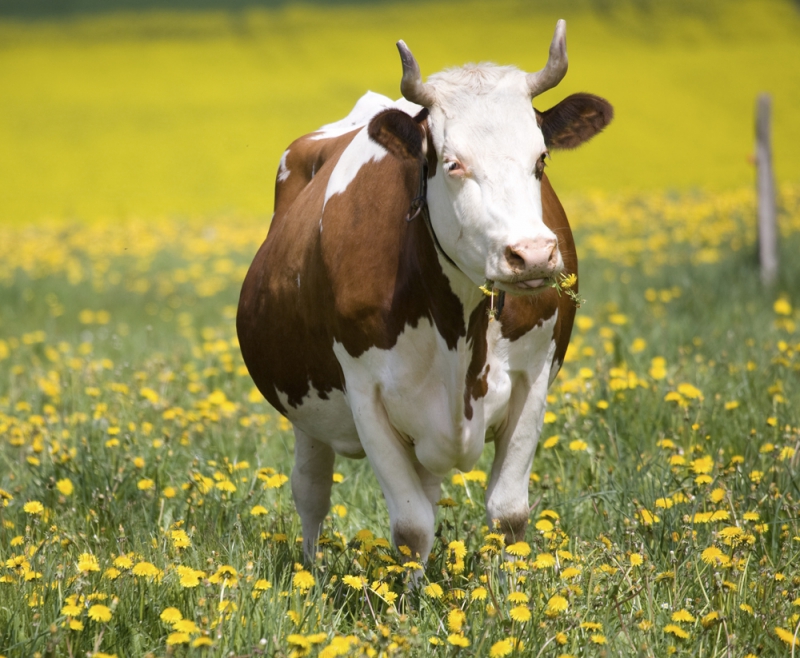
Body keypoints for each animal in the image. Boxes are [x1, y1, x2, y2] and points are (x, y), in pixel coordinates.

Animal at [238, 23, 612, 560]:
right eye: (453, 163)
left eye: (541, 158)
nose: (533, 254)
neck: (459, 326)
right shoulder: (365, 393)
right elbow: (412, 528)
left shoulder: (533, 376)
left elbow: (508, 514)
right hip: (307, 411)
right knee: (311, 491)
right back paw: (312, 568)